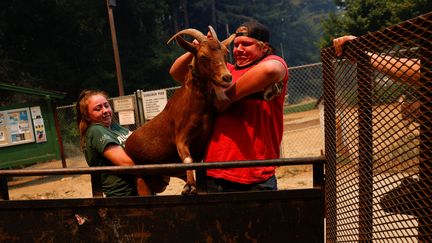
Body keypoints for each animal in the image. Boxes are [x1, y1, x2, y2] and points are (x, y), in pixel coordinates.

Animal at [125, 25, 235, 195]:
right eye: (203, 56)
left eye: (225, 53)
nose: (227, 77)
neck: (196, 107)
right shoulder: (181, 137)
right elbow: (188, 159)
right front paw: (189, 186)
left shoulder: (202, 141)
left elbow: (199, 165)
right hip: (140, 177)